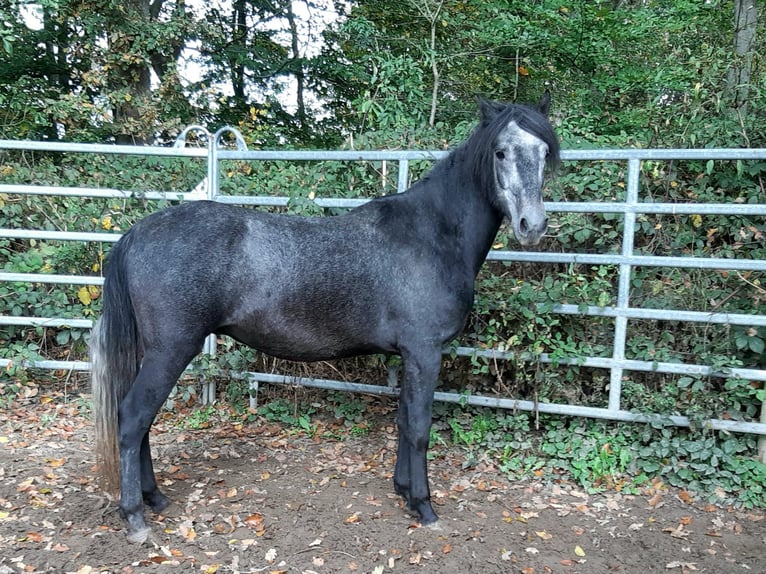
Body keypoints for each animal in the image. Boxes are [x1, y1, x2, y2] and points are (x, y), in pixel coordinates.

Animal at [90, 93, 560, 543]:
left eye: (543, 151)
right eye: (500, 152)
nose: (532, 226)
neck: (432, 234)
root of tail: (137, 233)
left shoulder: (411, 355)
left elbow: (404, 421)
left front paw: (403, 491)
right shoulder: (425, 352)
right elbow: (420, 428)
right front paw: (424, 507)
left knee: (141, 420)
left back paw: (155, 497)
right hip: (172, 349)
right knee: (133, 418)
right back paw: (135, 517)